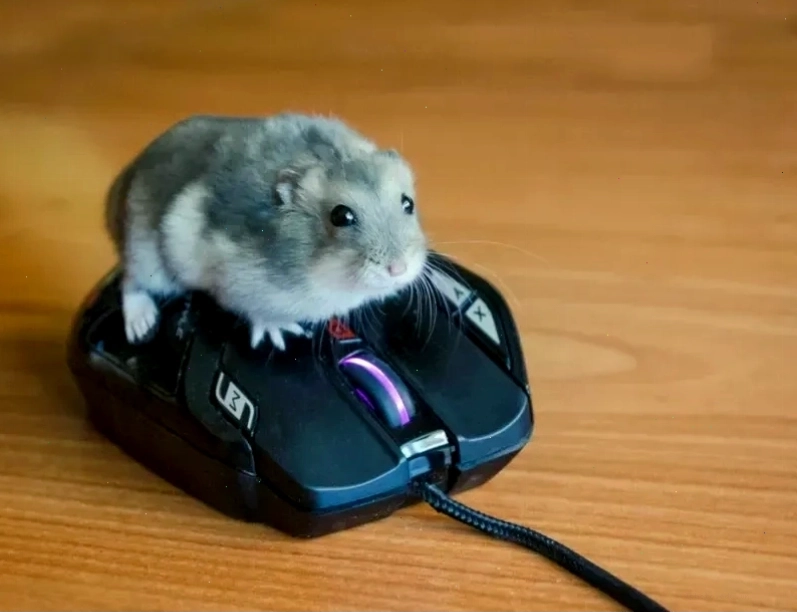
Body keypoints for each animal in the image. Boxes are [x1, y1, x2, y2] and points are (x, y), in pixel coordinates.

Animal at [104, 112, 428, 351]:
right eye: (341, 216)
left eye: (408, 203)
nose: (398, 269)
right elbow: (258, 313)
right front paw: (281, 333)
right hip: (147, 256)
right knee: (130, 282)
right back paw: (140, 325)